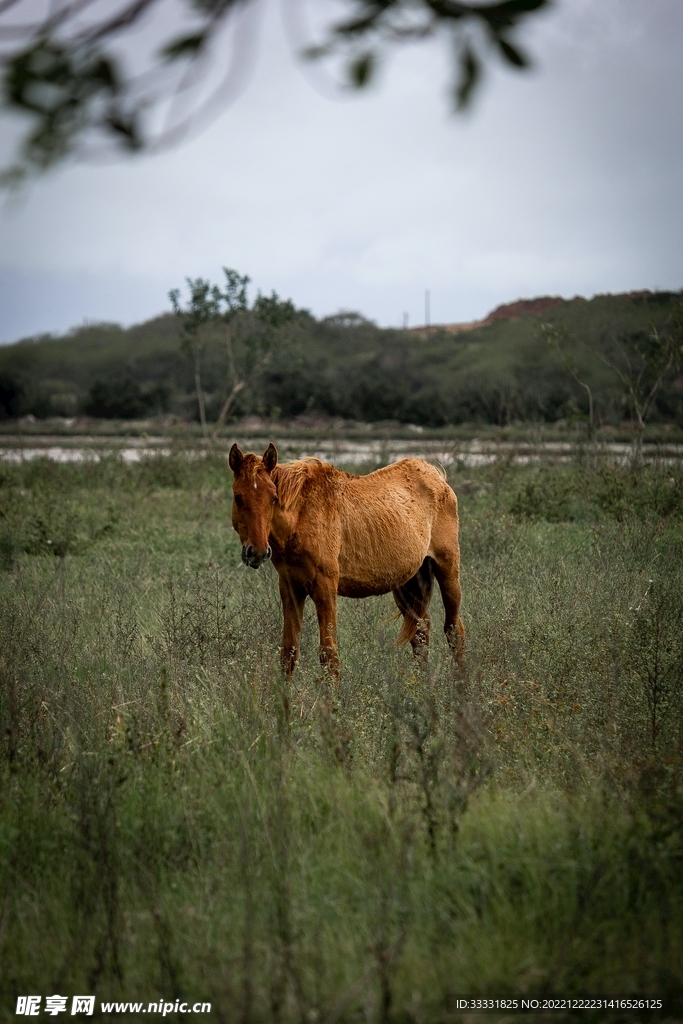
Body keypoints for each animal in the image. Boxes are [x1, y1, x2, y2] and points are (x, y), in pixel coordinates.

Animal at [229, 442, 465, 679]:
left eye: (273, 497)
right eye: (238, 497)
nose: (257, 552)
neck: (301, 519)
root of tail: (437, 476)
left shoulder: (325, 589)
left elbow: (329, 655)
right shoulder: (291, 589)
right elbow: (289, 653)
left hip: (447, 571)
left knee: (454, 630)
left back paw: (459, 682)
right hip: (408, 583)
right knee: (421, 632)